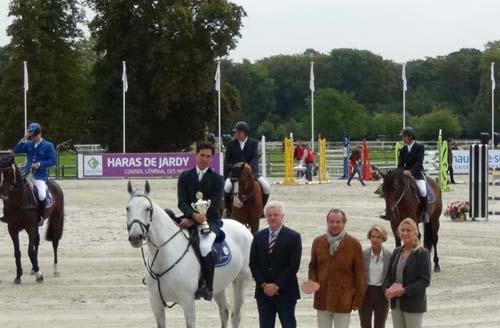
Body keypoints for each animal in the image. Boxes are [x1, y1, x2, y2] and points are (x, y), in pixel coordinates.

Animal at [0, 155, 64, 284]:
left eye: (9, 173)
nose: (2, 193)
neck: (18, 201)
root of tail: (54, 183)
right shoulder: (12, 229)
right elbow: (17, 252)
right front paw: (18, 276)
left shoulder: (30, 228)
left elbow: (29, 251)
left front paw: (39, 275)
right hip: (36, 225)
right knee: (37, 242)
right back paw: (34, 268)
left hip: (56, 218)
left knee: (55, 242)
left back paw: (55, 270)